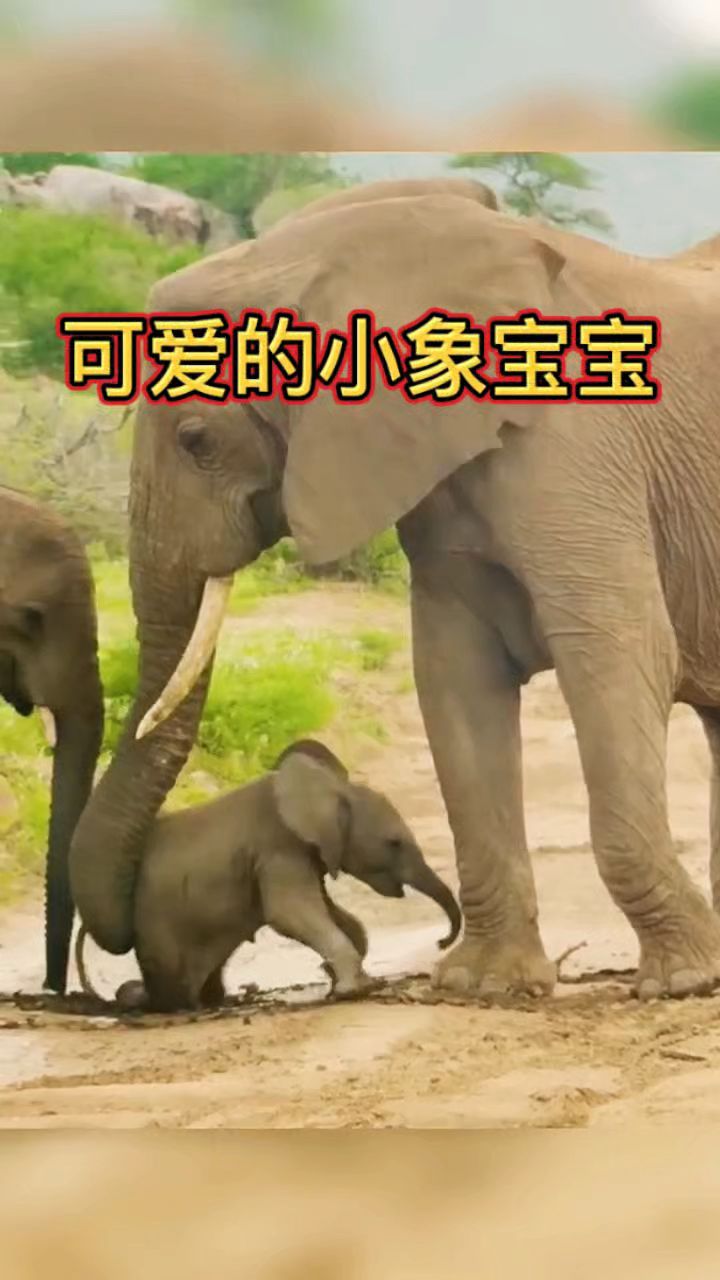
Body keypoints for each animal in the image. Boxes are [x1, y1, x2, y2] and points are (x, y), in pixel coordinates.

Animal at [74, 739, 461, 1012]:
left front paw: (334, 979)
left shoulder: (304, 853)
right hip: (160, 931)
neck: (331, 789)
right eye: (394, 844)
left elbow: (335, 915)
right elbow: (290, 914)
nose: (441, 942)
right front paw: (353, 989)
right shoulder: (278, 849)